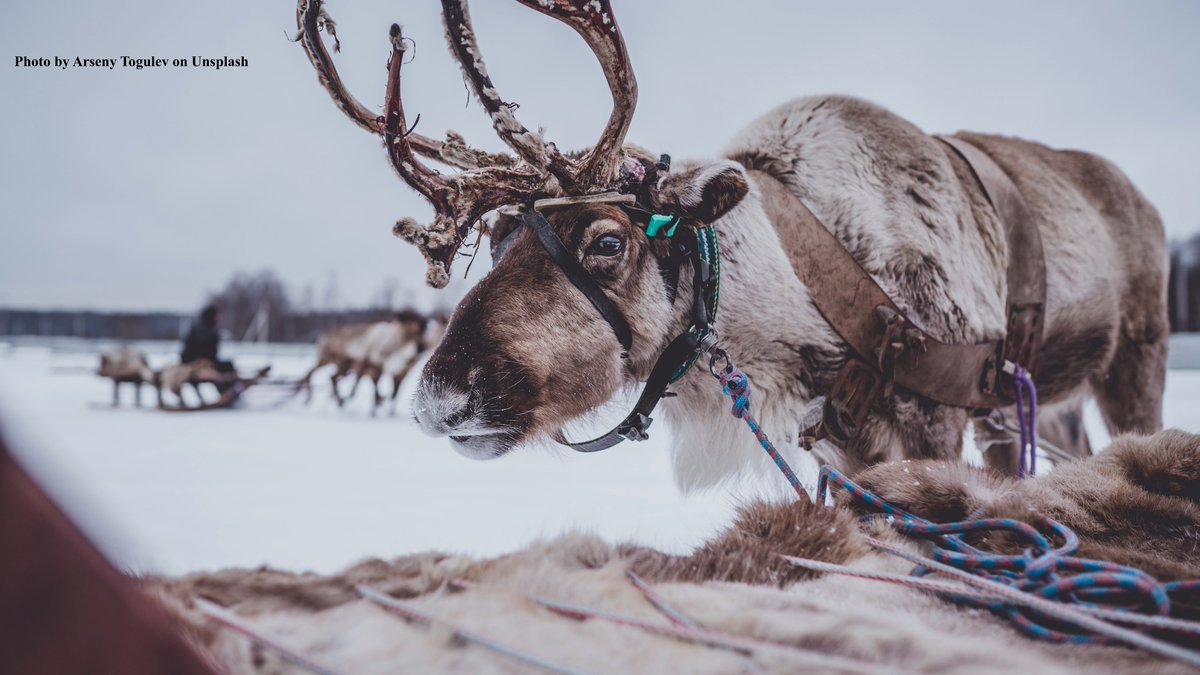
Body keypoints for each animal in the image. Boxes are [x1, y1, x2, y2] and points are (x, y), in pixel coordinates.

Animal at [296, 0, 1168, 492]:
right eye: (501, 233)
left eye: (607, 239)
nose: (439, 397)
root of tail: (1147, 202)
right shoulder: (843, 446)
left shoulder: (932, 418)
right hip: (1042, 399)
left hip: (1135, 356)